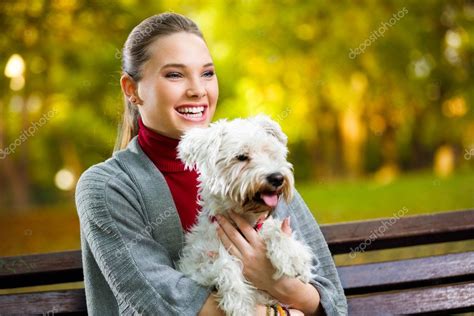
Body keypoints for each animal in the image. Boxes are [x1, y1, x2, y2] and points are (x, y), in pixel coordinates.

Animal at [176, 115, 312, 314]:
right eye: (241, 157)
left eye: (270, 153)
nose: (277, 177)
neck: (243, 219)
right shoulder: (196, 267)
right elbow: (225, 265)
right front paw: (239, 304)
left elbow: (276, 230)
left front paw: (291, 256)